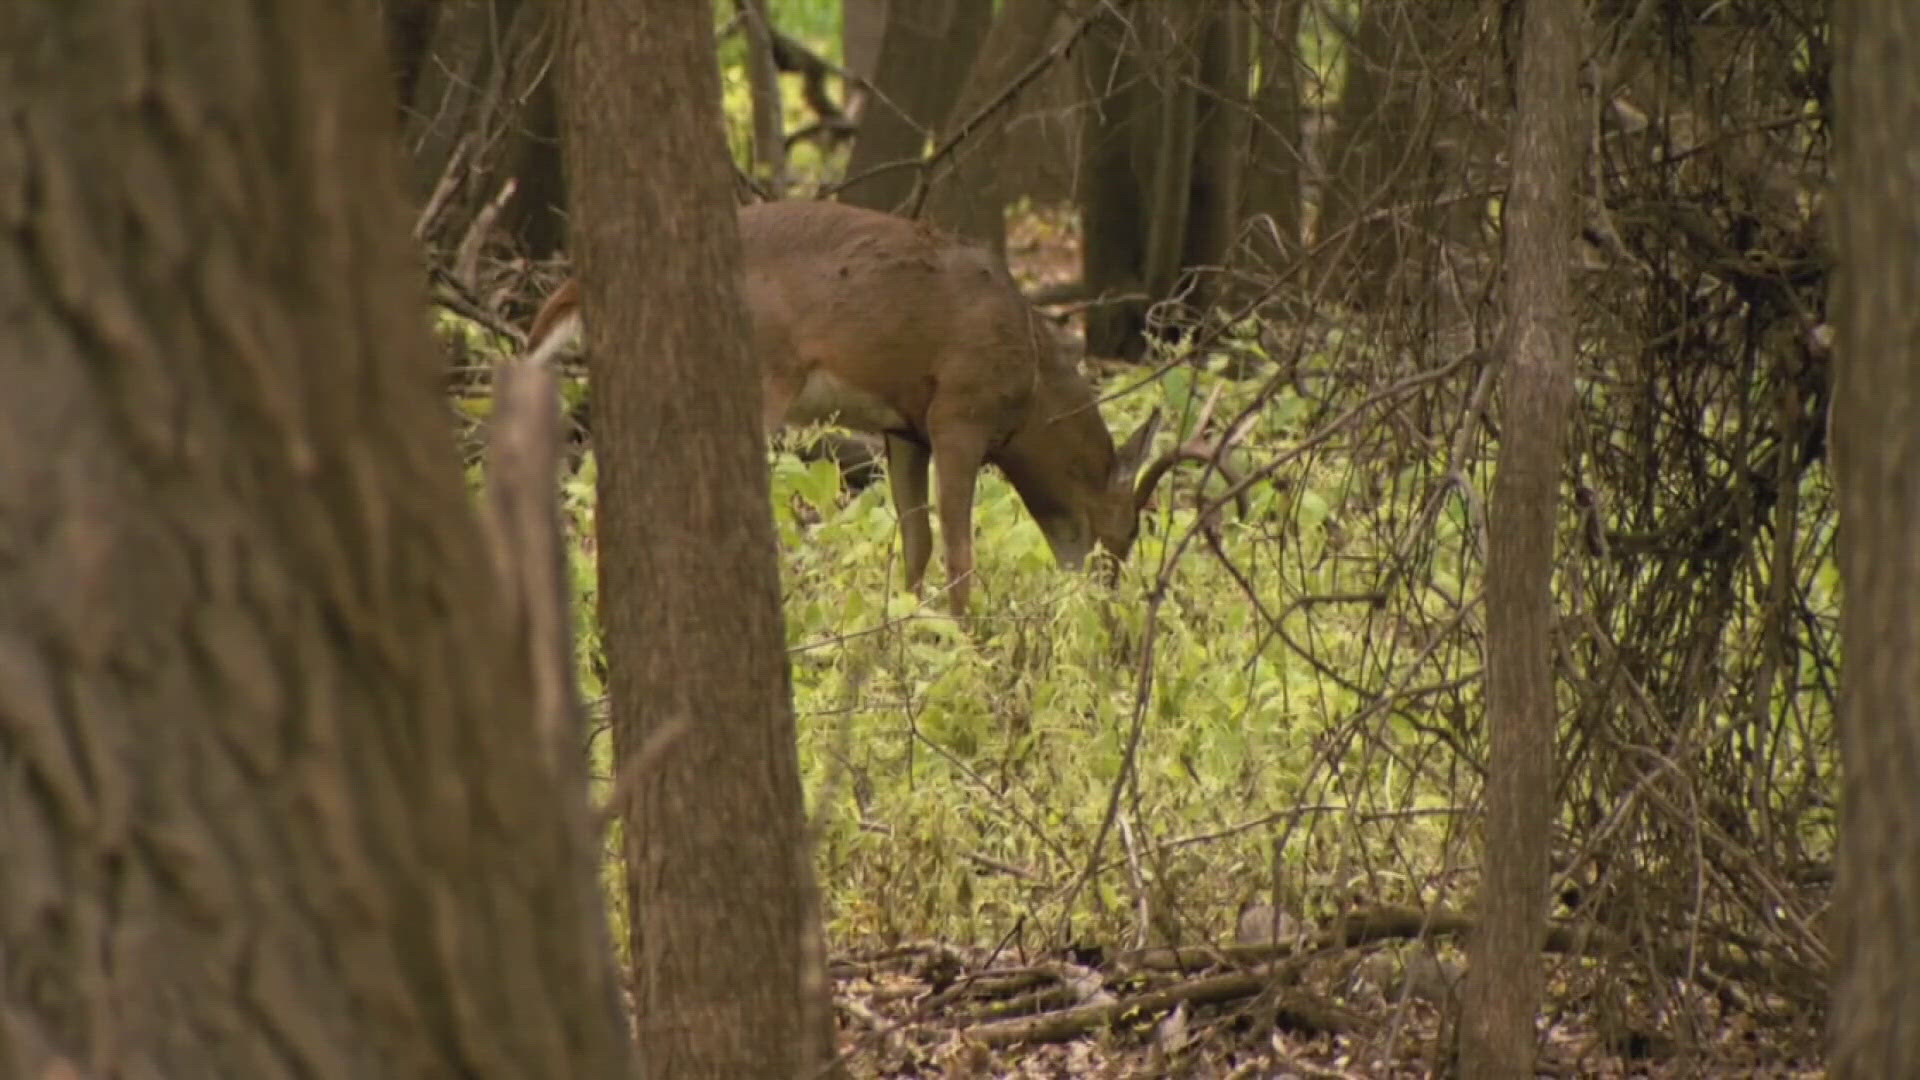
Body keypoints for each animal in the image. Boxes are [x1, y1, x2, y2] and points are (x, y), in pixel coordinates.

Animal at [526, 196, 1213, 611]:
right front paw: (969, 643)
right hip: (761, 375)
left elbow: (917, 542)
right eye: (1127, 528)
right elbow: (959, 551)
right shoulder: (959, 415)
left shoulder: (905, 429)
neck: (1030, 390)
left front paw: (904, 631)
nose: (1107, 596)